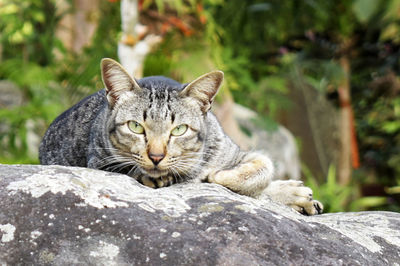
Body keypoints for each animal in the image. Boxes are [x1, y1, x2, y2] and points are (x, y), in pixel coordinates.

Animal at [39, 57, 324, 215]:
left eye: (179, 130)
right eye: (136, 127)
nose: (156, 156)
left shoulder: (239, 152)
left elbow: (261, 170)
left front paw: (216, 175)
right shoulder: (99, 162)